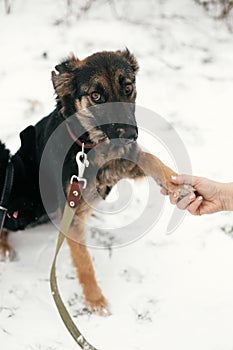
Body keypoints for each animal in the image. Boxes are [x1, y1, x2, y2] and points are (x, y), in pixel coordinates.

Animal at [0, 49, 191, 314]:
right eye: (96, 96)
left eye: (128, 87)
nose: (131, 135)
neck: (89, 144)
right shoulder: (72, 213)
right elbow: (84, 261)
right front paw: (94, 299)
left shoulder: (124, 161)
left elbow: (152, 159)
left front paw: (178, 184)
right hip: (27, 206)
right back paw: (4, 247)